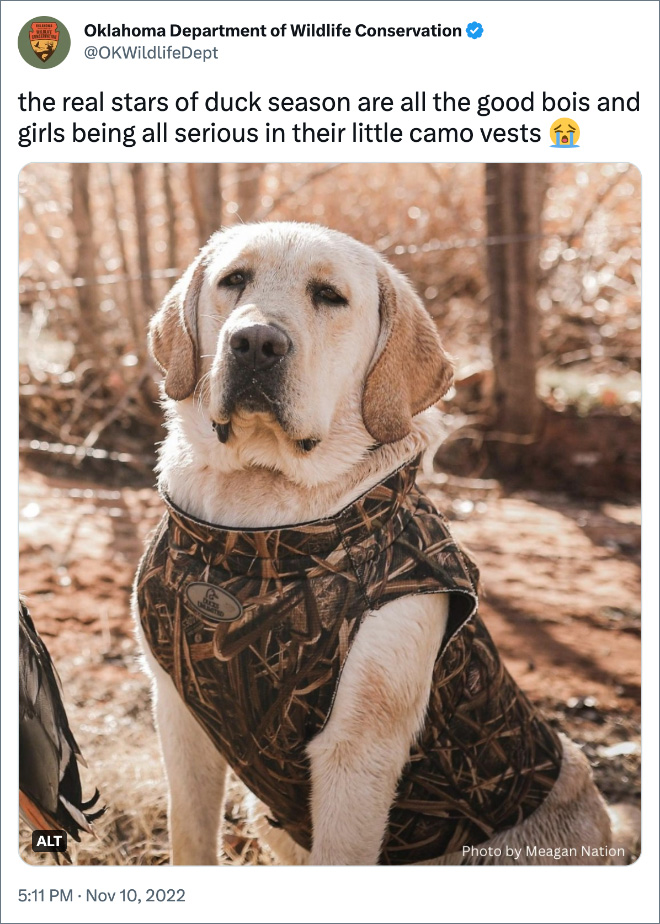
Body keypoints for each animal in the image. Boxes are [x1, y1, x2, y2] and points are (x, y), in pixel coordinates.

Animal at [134, 220, 620, 864]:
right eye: (233, 280)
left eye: (330, 296)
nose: (256, 344)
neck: (255, 529)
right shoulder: (178, 712)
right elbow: (190, 839)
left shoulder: (355, 758)